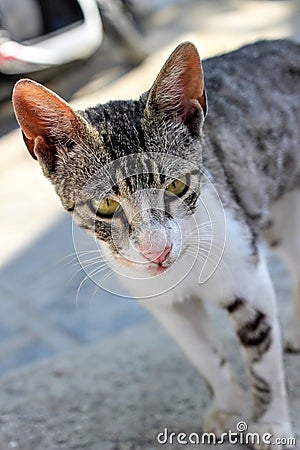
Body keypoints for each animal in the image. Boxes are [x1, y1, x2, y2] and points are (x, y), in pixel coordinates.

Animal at [12, 40, 300, 448]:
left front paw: (270, 425)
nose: (156, 249)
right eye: (106, 205)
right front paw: (227, 408)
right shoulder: (165, 305)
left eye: (176, 186)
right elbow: (205, 356)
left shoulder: (247, 277)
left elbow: (262, 361)